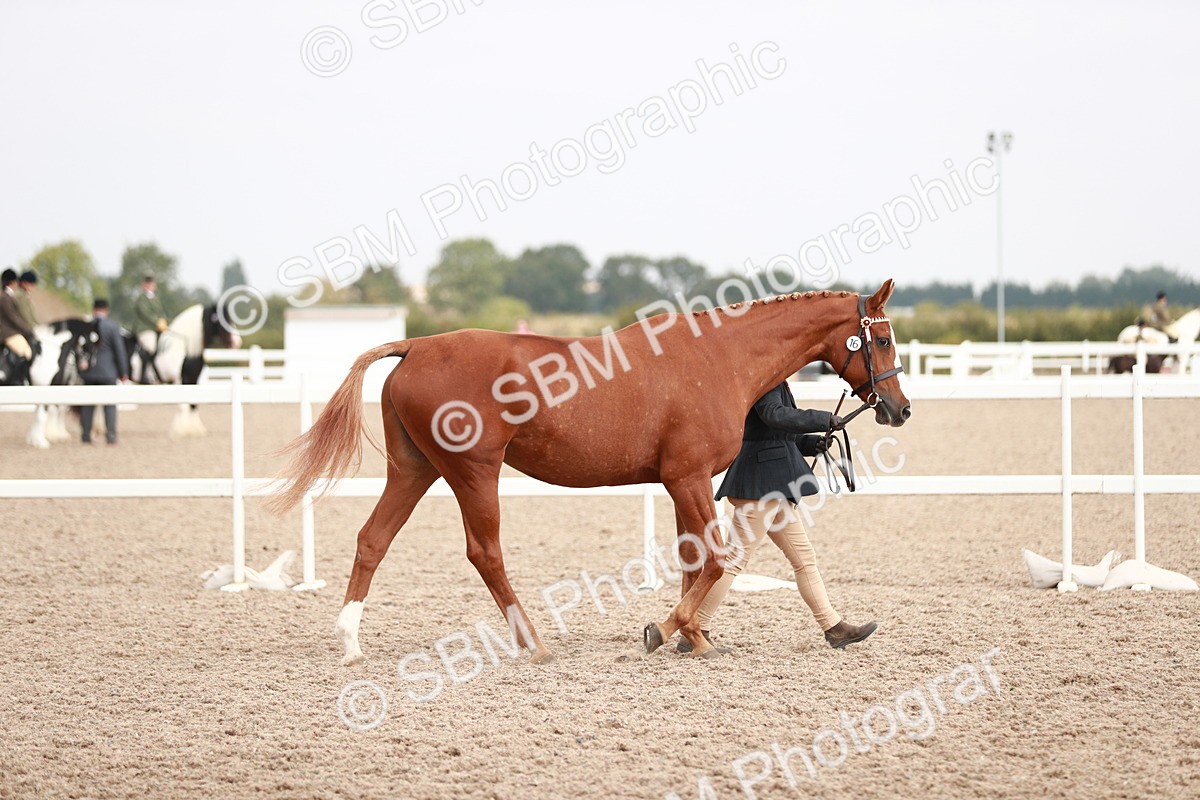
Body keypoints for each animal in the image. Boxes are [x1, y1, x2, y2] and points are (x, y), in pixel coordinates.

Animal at [133, 303, 241, 436]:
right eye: (222, 320)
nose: (237, 342)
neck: (184, 348)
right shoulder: (179, 380)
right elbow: (183, 404)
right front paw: (180, 430)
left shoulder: (194, 379)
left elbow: (193, 403)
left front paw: (196, 429)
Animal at [268, 280, 910, 664]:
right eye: (879, 337)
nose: (899, 409)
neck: (719, 359)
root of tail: (418, 346)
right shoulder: (688, 478)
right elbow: (714, 558)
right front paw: (668, 629)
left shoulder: (681, 482)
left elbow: (692, 560)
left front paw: (695, 636)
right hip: (473, 473)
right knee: (484, 552)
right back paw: (533, 643)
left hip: (413, 471)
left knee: (372, 539)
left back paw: (350, 642)